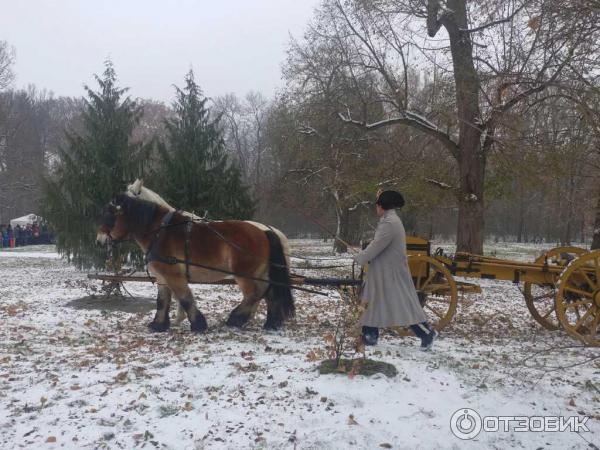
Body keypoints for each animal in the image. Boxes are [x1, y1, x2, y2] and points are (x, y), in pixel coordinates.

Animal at [96, 195, 296, 332]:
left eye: (110, 217)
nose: (99, 241)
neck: (160, 232)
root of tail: (264, 231)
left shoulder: (173, 275)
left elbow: (185, 298)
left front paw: (198, 324)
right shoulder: (162, 276)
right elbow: (162, 301)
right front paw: (158, 325)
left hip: (244, 274)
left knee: (254, 294)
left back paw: (236, 319)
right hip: (261, 273)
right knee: (269, 294)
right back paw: (271, 323)